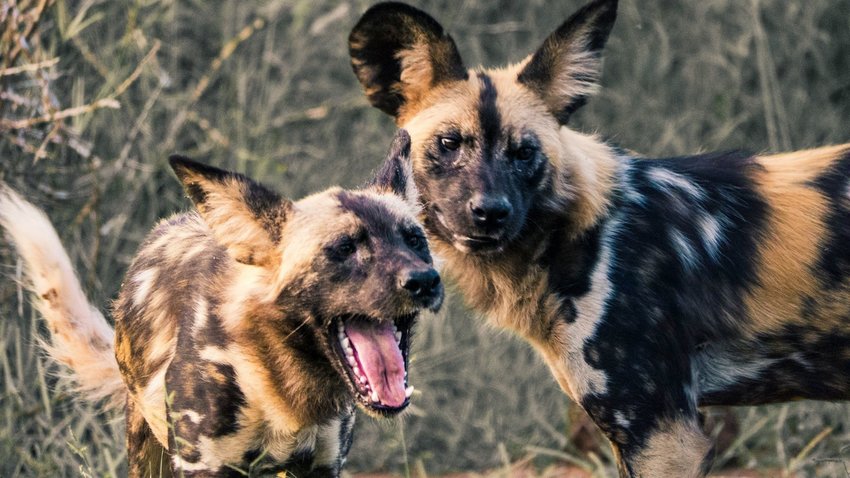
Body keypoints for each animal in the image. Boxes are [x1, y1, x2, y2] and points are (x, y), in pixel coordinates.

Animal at [3, 129, 444, 476]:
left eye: (415, 240)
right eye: (344, 248)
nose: (424, 281)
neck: (284, 390)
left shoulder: (320, 466)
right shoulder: (204, 464)